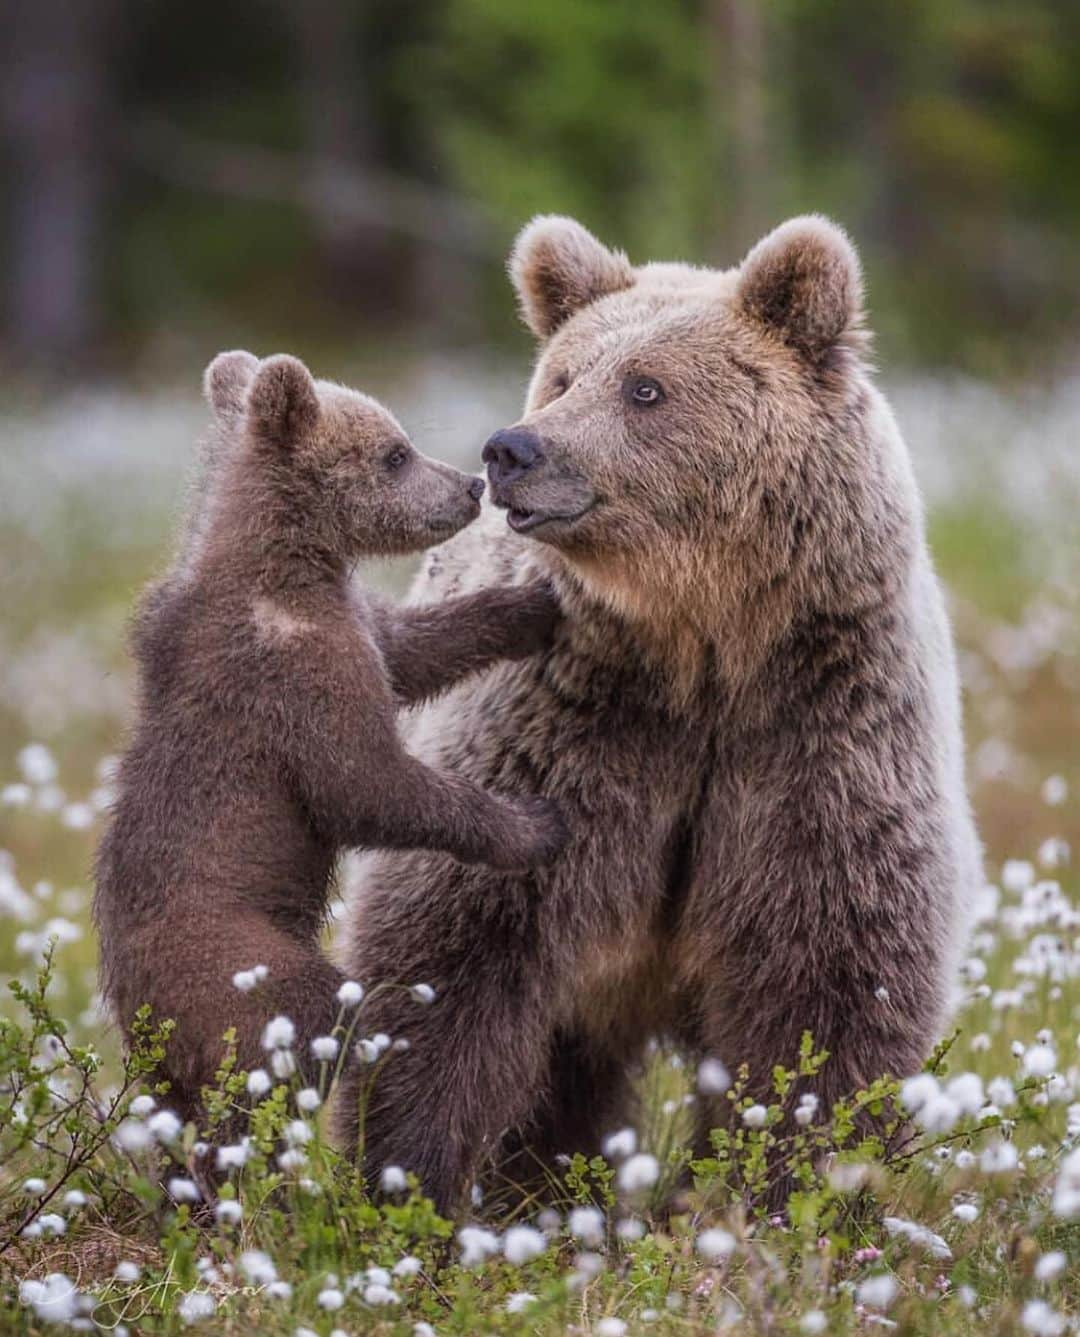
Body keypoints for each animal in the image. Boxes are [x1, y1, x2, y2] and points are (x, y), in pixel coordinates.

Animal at [332, 211, 983, 1213]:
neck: (701, 642)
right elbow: (453, 942)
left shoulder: (818, 729)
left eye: (646, 388)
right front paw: (406, 1181)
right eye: (564, 375)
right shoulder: (575, 725)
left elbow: (828, 977)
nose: (513, 450)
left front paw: (798, 1194)